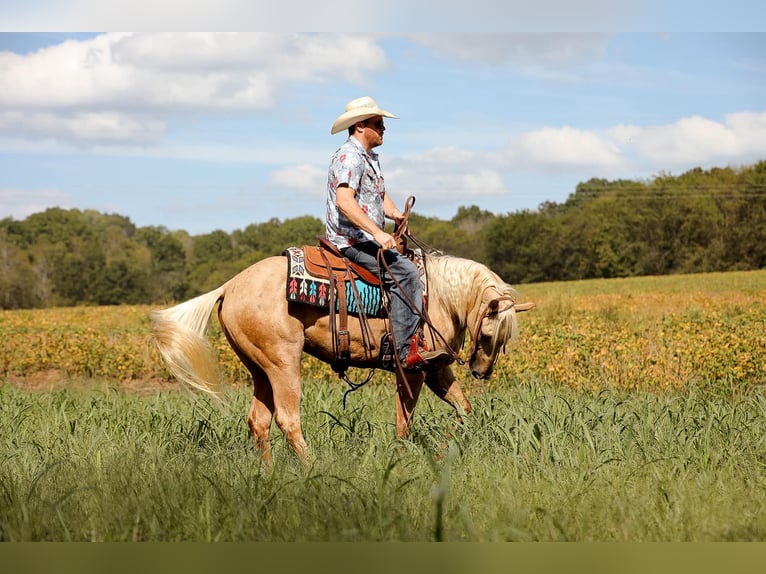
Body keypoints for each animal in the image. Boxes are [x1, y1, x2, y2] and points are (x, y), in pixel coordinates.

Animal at [150, 253, 536, 464]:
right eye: (488, 335)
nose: (481, 372)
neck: (438, 296)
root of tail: (228, 286)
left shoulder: (435, 367)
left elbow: (463, 410)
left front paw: (442, 452)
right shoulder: (412, 368)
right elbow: (404, 421)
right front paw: (402, 460)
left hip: (259, 369)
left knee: (259, 421)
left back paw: (270, 472)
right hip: (282, 364)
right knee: (288, 418)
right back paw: (313, 469)